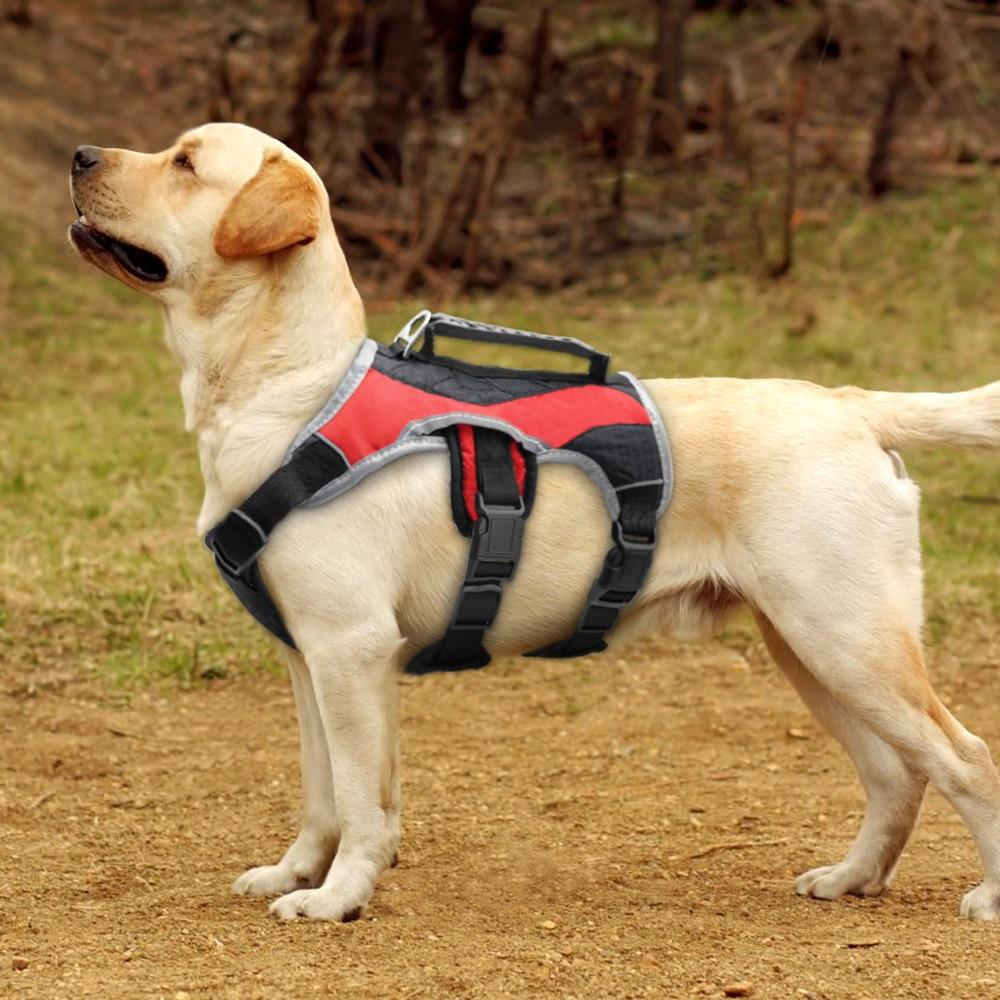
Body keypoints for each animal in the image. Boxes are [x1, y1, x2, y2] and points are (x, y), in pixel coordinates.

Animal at [70, 123, 1000, 920]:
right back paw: (852, 878)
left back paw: (985, 896)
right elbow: (327, 794)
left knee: (966, 759)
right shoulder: (310, 660)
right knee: (896, 775)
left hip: (847, 640)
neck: (289, 388)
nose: (78, 155)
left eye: (186, 163)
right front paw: (298, 873)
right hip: (809, 649)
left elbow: (361, 804)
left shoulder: (348, 648)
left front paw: (337, 899)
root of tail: (851, 404)